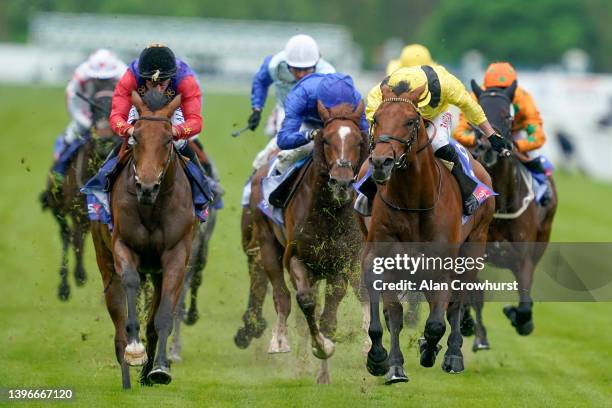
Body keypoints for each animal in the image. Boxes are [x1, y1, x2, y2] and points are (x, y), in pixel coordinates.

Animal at [42, 91, 120, 302]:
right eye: (93, 110)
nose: (104, 138)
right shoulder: (77, 211)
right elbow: (75, 238)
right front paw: (79, 275)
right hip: (57, 206)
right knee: (66, 234)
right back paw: (64, 286)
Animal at [89, 90, 196, 388]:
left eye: (168, 139)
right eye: (135, 137)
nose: (146, 186)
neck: (151, 207)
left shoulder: (175, 255)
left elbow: (163, 315)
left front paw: (159, 368)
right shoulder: (123, 246)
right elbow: (130, 283)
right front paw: (134, 350)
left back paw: (148, 371)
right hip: (104, 259)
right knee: (116, 312)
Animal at [235, 100, 368, 384]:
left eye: (358, 141)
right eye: (326, 139)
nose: (341, 181)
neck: (328, 213)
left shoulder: (339, 264)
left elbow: (328, 318)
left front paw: (324, 369)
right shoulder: (296, 257)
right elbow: (305, 301)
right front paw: (320, 348)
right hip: (267, 245)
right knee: (282, 296)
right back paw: (280, 341)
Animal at [360, 82, 494, 382]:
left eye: (411, 121)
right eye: (376, 119)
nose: (381, 162)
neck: (413, 200)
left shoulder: (442, 264)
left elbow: (436, 323)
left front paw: (431, 349)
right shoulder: (383, 256)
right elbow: (392, 313)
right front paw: (391, 364)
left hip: (473, 248)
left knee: (455, 304)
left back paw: (453, 354)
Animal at [466, 80, 556, 344]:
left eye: (508, 116)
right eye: (479, 111)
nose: (486, 147)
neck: (501, 204)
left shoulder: (523, 257)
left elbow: (525, 304)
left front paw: (518, 316)